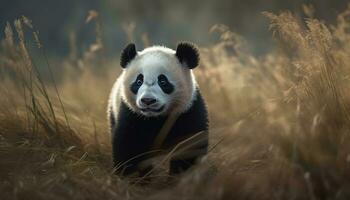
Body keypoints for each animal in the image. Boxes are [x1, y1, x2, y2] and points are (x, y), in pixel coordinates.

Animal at [107, 42, 208, 177]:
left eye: (163, 81)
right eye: (139, 81)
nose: (148, 100)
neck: (156, 118)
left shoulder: (188, 110)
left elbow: (190, 145)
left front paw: (179, 176)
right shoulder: (131, 113)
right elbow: (130, 146)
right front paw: (134, 177)